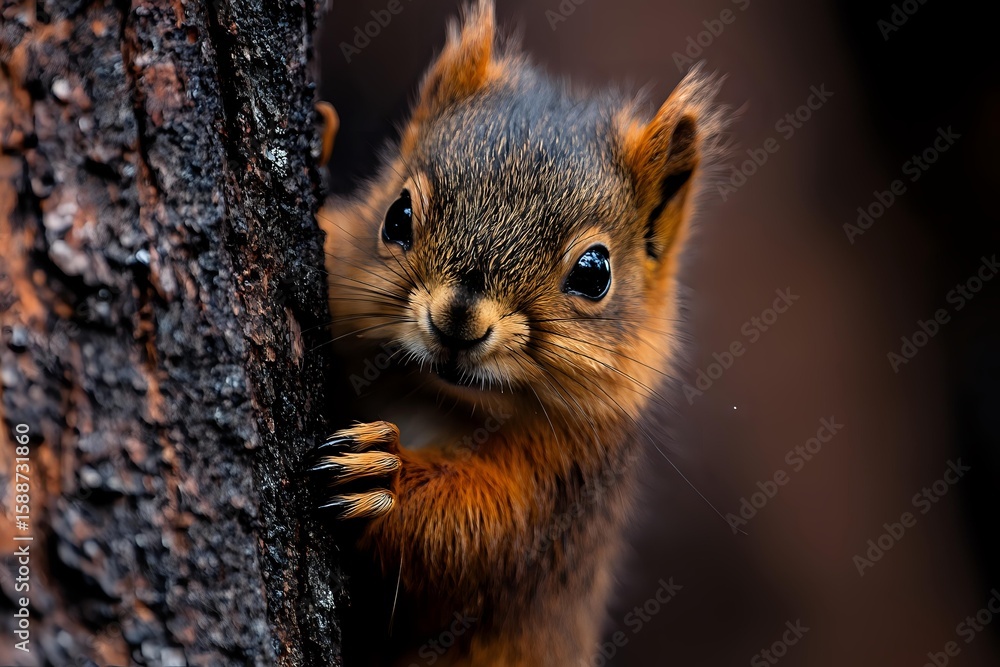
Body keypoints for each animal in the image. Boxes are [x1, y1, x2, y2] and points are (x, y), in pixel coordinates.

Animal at [310, 1, 727, 665]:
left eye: (595, 273)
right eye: (396, 215)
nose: (458, 321)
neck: (439, 399)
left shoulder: (562, 486)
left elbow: (468, 534)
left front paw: (382, 476)